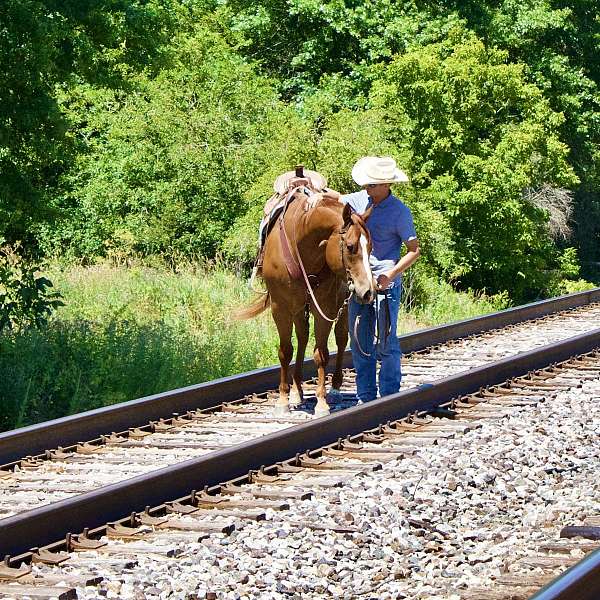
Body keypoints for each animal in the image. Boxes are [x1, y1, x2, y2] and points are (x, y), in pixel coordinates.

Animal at [239, 185, 376, 414]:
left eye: (371, 247)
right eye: (350, 246)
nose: (368, 291)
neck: (301, 247)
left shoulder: (326, 308)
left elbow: (321, 353)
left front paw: (321, 402)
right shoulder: (280, 307)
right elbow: (285, 351)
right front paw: (283, 399)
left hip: (341, 305)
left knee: (341, 339)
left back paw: (335, 389)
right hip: (298, 308)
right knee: (302, 337)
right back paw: (296, 391)